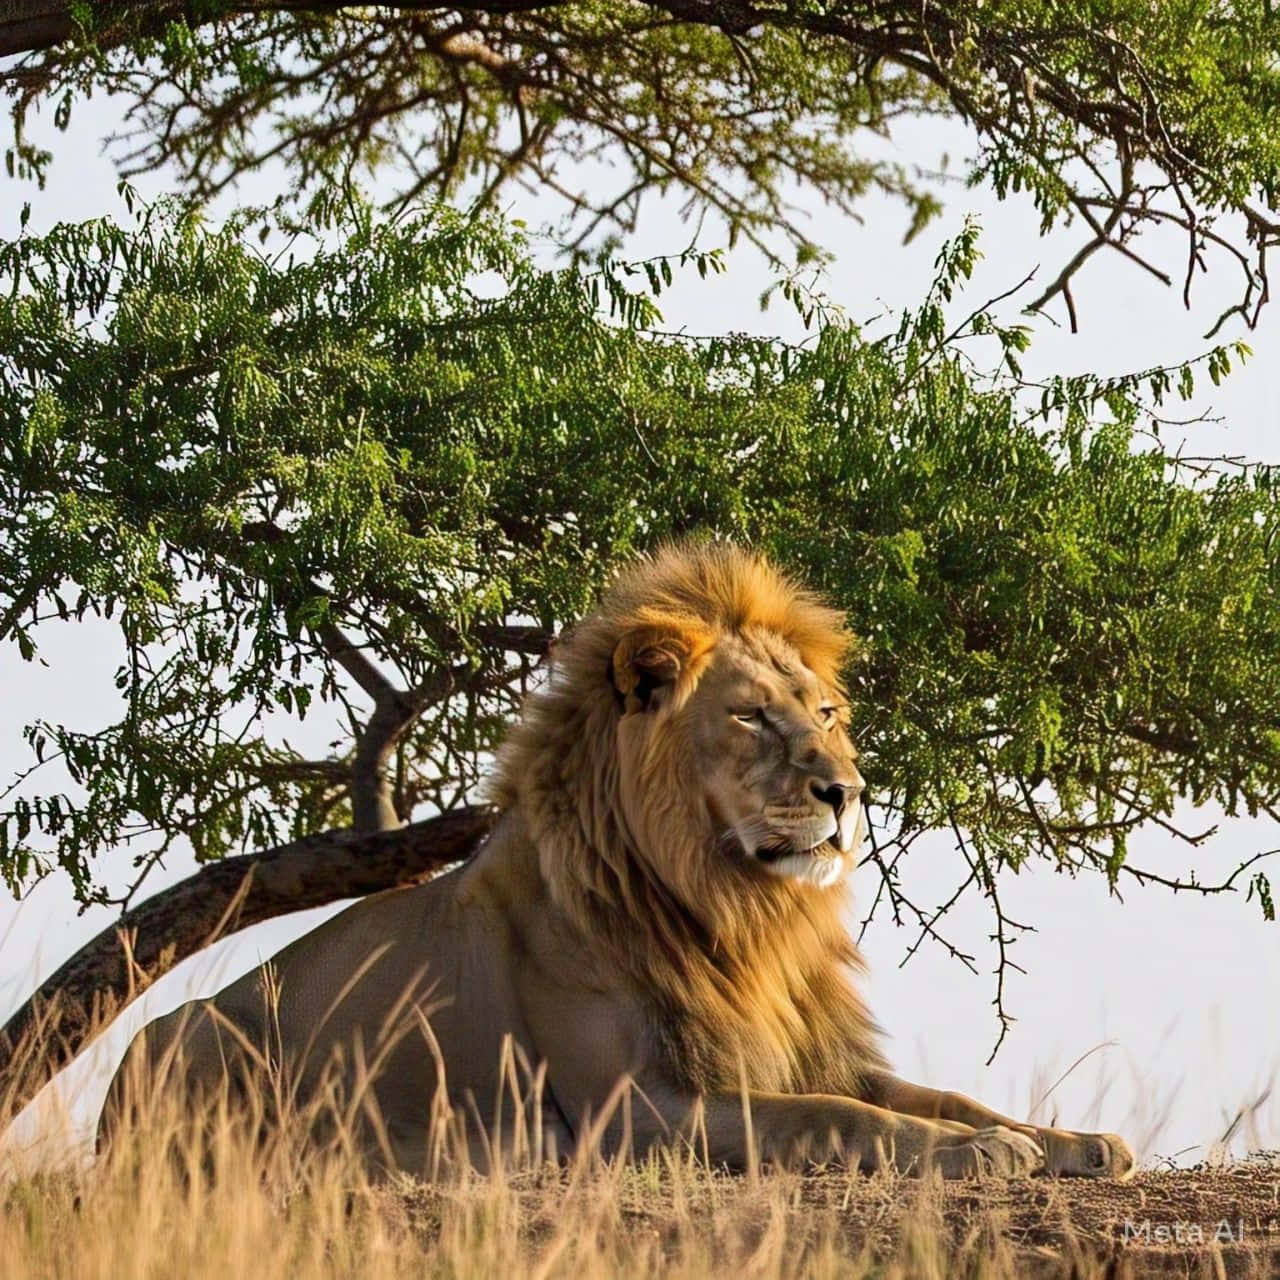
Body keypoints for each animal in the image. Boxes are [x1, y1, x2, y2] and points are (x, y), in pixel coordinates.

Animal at [101, 542, 1135, 1180]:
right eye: (752, 716)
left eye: (826, 712)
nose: (847, 790)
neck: (741, 915)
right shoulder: (637, 1107)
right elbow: (836, 1120)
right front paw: (977, 1154)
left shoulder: (807, 1053)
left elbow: (943, 1094)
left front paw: (1072, 1141)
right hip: (191, 1035)